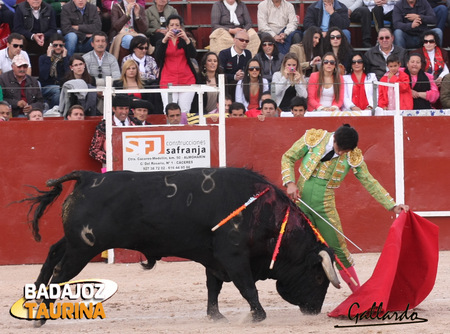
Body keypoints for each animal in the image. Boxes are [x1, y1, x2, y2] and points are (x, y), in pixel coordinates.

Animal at [24, 168, 340, 322]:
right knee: (60, 273)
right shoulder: (233, 256)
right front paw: (258, 316)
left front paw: (216, 317)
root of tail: (88, 177)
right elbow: (247, 287)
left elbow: (213, 287)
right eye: (317, 277)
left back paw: (34, 300)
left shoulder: (215, 259)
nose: (314, 311)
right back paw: (41, 317)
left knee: (52, 253)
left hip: (75, 243)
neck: (263, 214)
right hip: (83, 248)